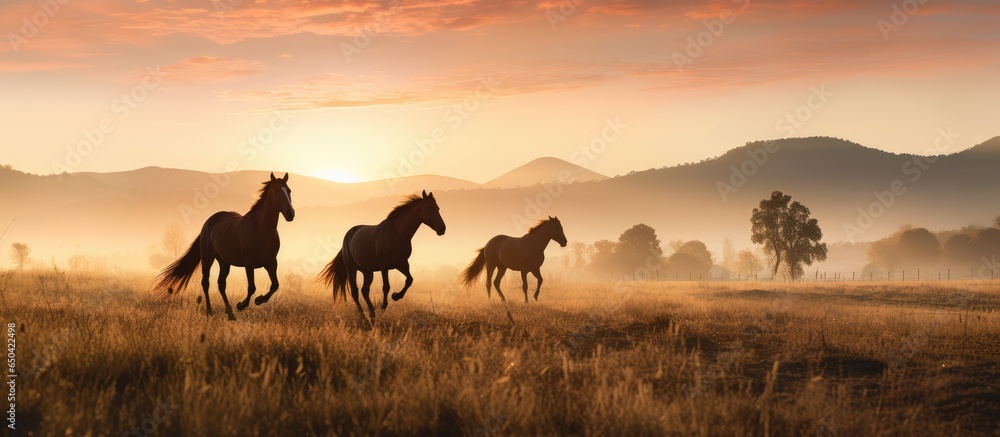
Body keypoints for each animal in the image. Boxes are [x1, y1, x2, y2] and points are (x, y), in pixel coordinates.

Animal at [152, 172, 292, 318]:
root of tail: (208, 222)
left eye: (289, 191)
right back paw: (210, 311)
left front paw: (259, 300)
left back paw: (229, 312)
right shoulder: (249, 264)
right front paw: (241, 305)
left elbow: (275, 285)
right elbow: (252, 288)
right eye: (276, 191)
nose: (290, 214)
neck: (260, 229)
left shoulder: (271, 263)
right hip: (208, 258)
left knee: (221, 284)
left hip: (224, 262)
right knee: (206, 283)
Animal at [320, 190, 446, 320]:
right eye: (430, 208)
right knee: (355, 291)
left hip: (367, 271)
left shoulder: (402, 264)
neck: (397, 234)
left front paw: (396, 296)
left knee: (365, 290)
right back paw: (363, 315)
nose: (442, 229)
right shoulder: (384, 266)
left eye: (438, 208)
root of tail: (348, 235)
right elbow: (386, 286)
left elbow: (409, 280)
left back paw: (372, 312)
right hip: (351, 269)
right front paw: (384, 305)